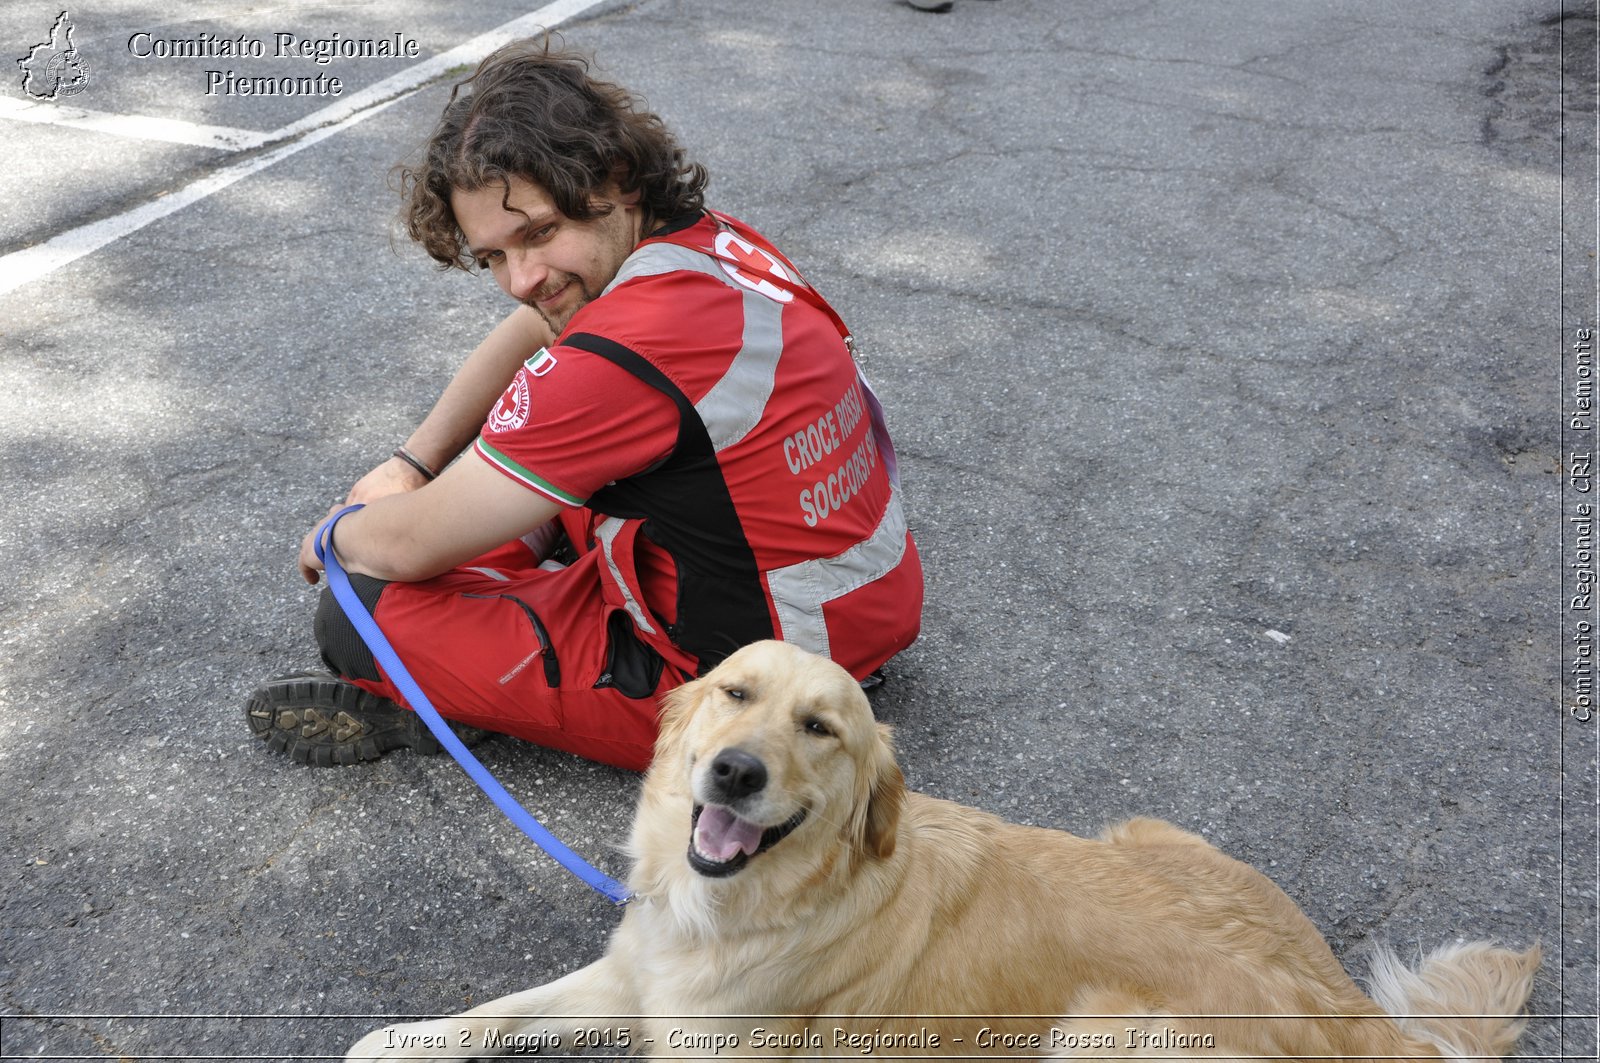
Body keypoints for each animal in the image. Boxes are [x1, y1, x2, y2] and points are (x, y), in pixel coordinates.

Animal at [347, 640, 1536, 1063]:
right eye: (734, 692)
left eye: (820, 727)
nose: (734, 771)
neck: (749, 904)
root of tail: (1359, 1022)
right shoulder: (634, 979)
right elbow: (497, 1009)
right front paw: (399, 1039)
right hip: (1146, 832)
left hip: (1112, 1031)